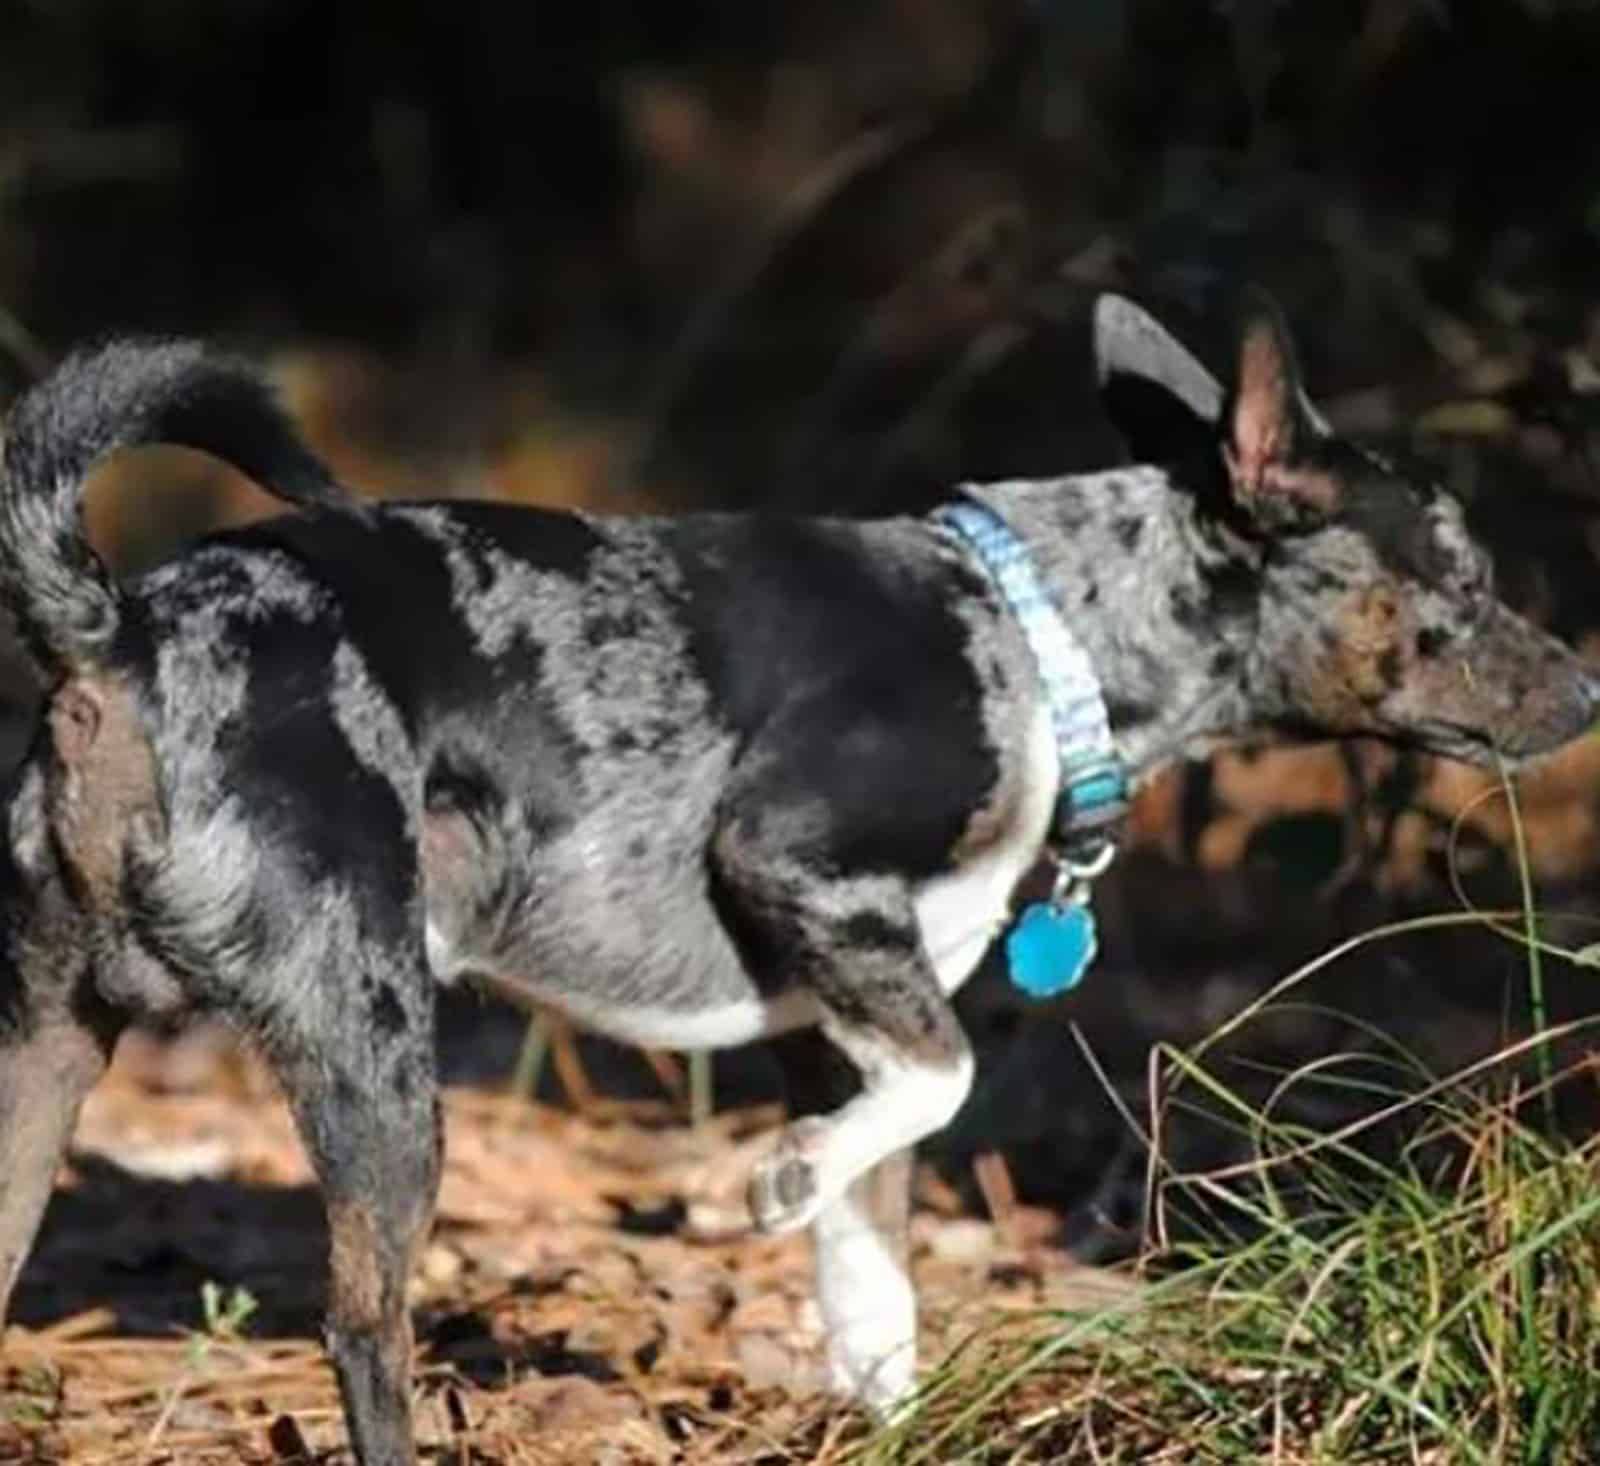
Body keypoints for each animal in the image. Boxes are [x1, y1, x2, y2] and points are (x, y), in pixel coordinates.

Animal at [0, 291, 1593, 1459]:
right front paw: (768, 1182)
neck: (1042, 636)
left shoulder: (842, 1018)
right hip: (371, 1044)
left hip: (45, 1051)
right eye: (1460, 585)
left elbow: (875, 1272)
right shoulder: (804, 868)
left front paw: (903, 1414)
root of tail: (121, 630)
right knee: (364, 1326)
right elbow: (935, 1089)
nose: (1584, 686)